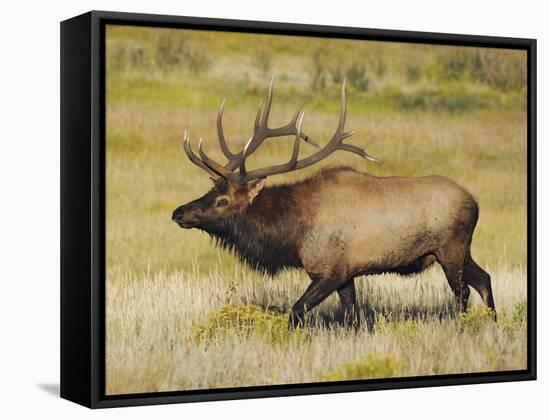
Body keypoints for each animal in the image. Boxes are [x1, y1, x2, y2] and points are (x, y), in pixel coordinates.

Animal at [171, 78, 496, 328]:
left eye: (222, 200)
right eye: (210, 189)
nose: (178, 213)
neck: (294, 234)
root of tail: (475, 202)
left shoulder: (329, 270)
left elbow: (296, 311)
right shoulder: (346, 273)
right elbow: (352, 317)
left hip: (450, 248)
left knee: (463, 291)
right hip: (460, 250)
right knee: (484, 279)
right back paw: (493, 323)